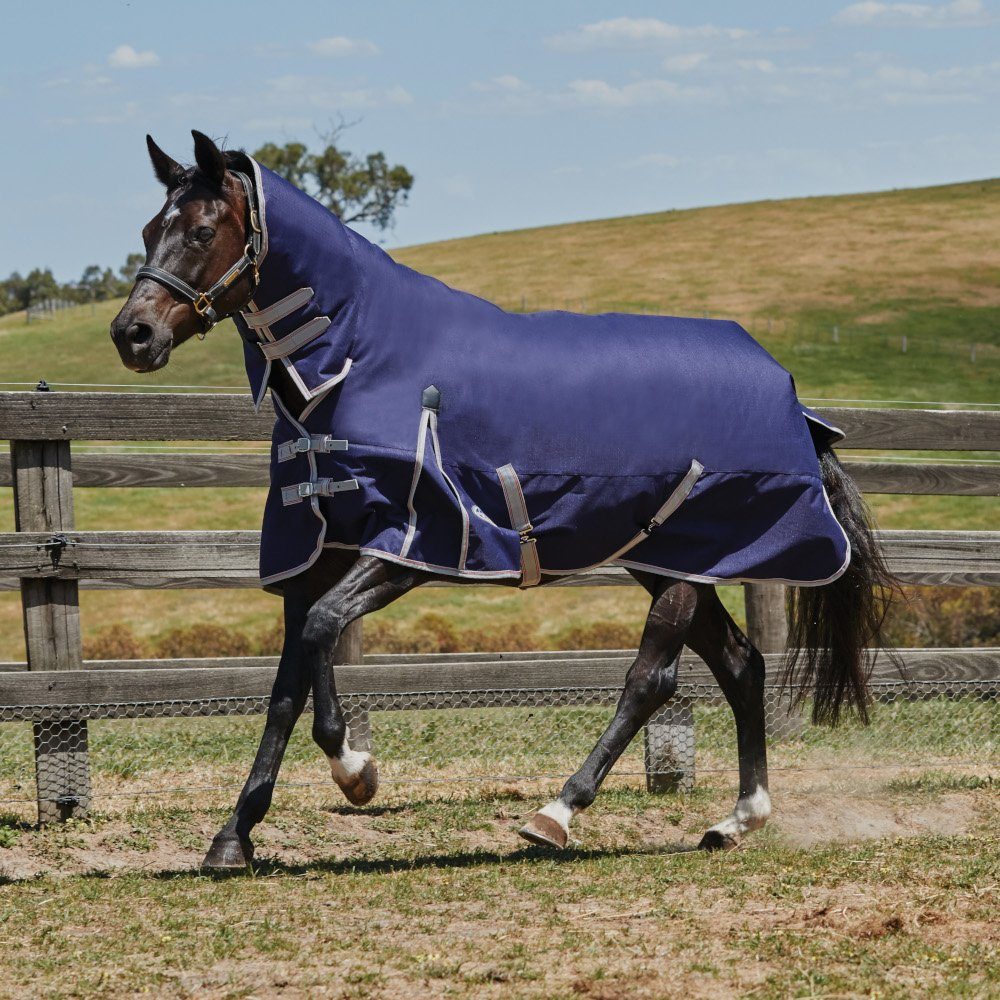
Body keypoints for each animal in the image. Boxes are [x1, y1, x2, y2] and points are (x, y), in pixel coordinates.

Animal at [111, 131, 900, 868]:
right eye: (149, 229)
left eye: (201, 231)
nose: (132, 334)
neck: (357, 362)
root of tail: (790, 394)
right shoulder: (315, 554)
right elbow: (286, 684)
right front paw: (234, 836)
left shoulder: (413, 544)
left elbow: (322, 637)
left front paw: (356, 772)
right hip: (671, 558)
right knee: (741, 664)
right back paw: (737, 819)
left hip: (685, 561)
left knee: (653, 678)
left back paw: (557, 813)